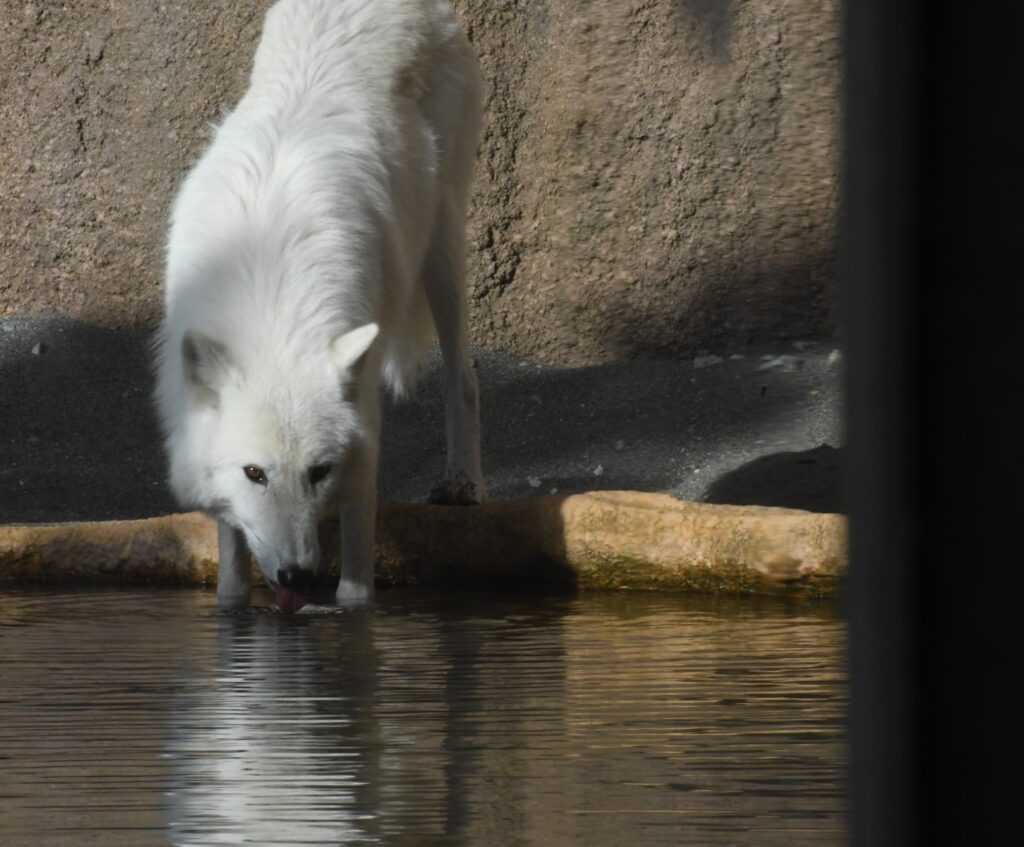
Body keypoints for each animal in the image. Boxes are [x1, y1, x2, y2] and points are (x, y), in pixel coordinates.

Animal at [153, 0, 485, 610]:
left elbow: (356, 583)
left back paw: (463, 484)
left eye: (319, 471)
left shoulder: (363, 432)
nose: (296, 576)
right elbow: (231, 579)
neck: (273, 300)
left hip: (443, 249)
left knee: (464, 377)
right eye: (254, 473)